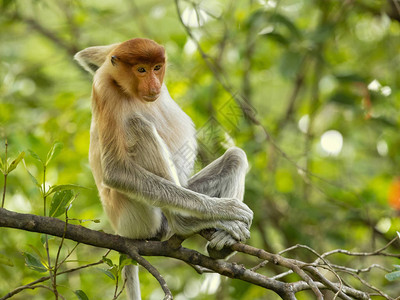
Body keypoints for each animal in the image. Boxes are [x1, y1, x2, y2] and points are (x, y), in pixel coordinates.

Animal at [74, 38, 253, 298]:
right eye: (141, 70)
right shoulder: (103, 90)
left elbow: (92, 55)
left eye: (157, 68)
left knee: (235, 157)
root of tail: (120, 230)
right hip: (136, 218)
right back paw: (185, 222)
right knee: (137, 125)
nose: (154, 85)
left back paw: (223, 244)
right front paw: (226, 209)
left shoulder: (110, 60)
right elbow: (115, 171)